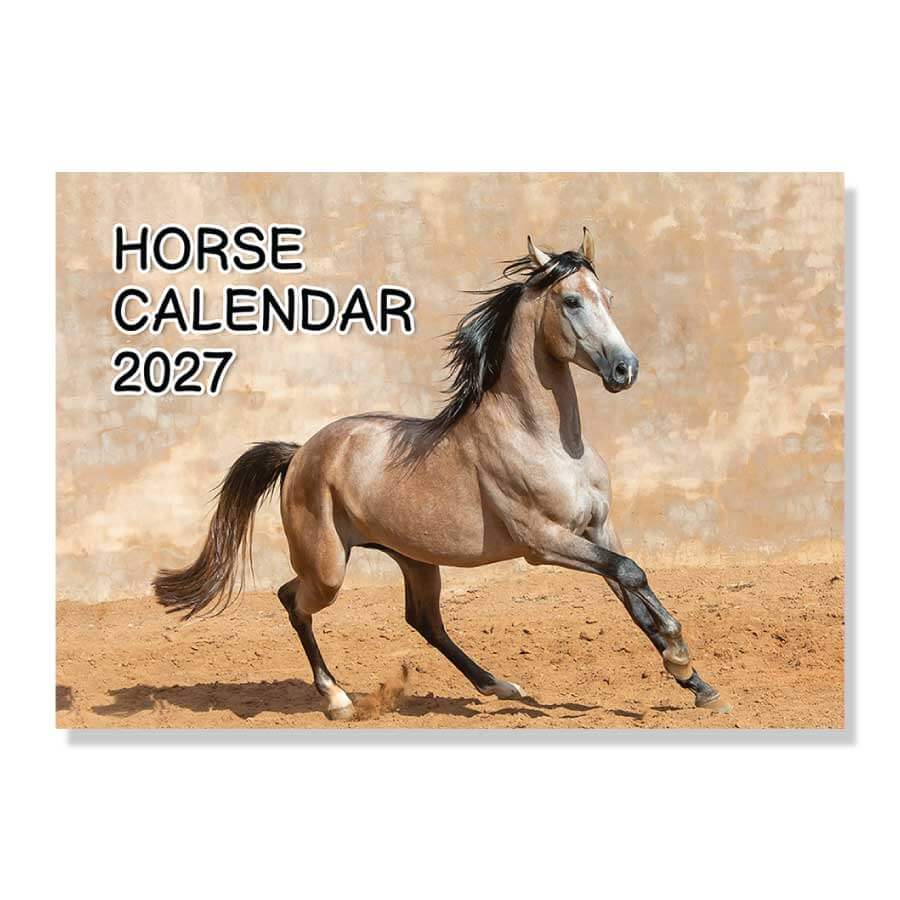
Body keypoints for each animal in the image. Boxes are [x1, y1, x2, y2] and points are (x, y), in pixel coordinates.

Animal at [154, 228, 728, 719]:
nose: (625, 369)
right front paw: (680, 656)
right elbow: (632, 573)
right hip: (328, 567)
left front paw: (698, 685)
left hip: (415, 559)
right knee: (293, 601)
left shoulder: (596, 530)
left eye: (607, 296)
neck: (544, 439)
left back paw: (498, 685)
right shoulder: (543, 543)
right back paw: (338, 699)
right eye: (571, 301)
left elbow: (633, 590)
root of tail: (299, 454)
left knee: (423, 620)